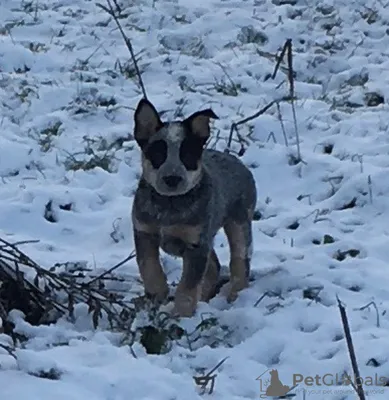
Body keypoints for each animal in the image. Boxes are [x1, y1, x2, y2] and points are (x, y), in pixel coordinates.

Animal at [132, 98, 256, 318]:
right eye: (158, 153)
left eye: (188, 155)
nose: (172, 179)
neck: (169, 207)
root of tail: (237, 161)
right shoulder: (144, 232)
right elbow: (149, 267)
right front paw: (157, 295)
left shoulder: (196, 244)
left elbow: (188, 287)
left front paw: (181, 315)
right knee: (214, 266)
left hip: (239, 223)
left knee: (240, 262)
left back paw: (235, 296)